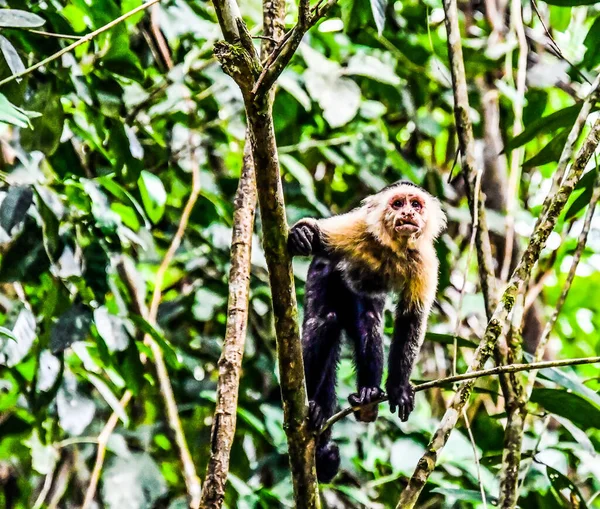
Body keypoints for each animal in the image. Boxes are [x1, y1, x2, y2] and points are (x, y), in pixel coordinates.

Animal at [286, 181, 446, 482]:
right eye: (398, 203)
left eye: (416, 204)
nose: (408, 213)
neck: (393, 248)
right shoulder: (356, 227)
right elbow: (317, 235)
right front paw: (303, 234)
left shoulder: (425, 261)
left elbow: (411, 319)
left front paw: (398, 387)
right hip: (323, 277)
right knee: (324, 320)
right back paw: (311, 406)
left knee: (369, 322)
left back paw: (368, 398)